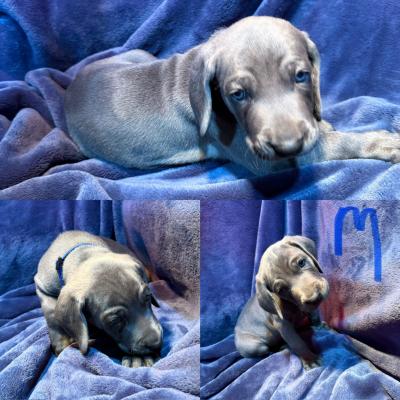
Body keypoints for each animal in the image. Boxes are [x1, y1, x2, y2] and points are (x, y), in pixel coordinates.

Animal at [34, 230, 163, 368]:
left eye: (148, 297)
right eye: (115, 320)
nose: (156, 342)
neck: (81, 253)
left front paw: (139, 357)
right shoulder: (41, 286)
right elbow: (51, 313)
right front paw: (62, 340)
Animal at [64, 16, 400, 175]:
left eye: (301, 76)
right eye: (238, 94)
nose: (288, 145)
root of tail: (73, 84)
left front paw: (323, 123)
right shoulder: (266, 161)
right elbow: (335, 144)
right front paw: (382, 142)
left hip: (138, 54)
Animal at [234, 236, 329, 369]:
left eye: (301, 262)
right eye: (281, 290)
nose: (314, 298)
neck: (293, 305)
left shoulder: (307, 309)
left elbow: (314, 314)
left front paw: (319, 325)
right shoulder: (283, 325)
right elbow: (297, 343)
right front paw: (310, 359)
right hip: (255, 346)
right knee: (267, 351)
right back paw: (281, 347)